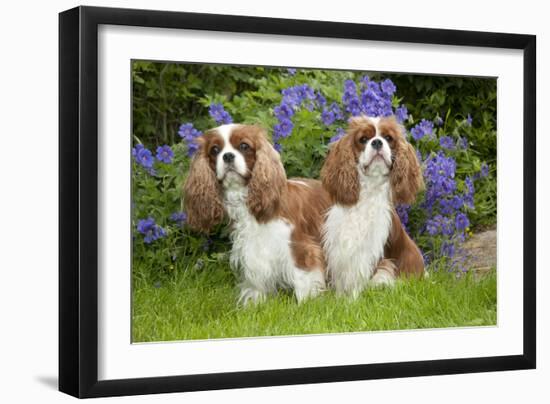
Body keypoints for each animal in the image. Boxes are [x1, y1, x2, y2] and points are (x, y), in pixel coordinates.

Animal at [184, 123, 332, 304]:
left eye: (244, 146)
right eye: (215, 150)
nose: (227, 156)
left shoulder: (300, 247)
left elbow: (303, 279)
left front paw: (306, 303)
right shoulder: (253, 251)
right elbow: (256, 282)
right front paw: (255, 303)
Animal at [324, 115, 426, 298]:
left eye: (388, 138)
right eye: (363, 139)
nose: (377, 142)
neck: (368, 192)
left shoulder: (372, 257)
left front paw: (352, 301)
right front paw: (339, 300)